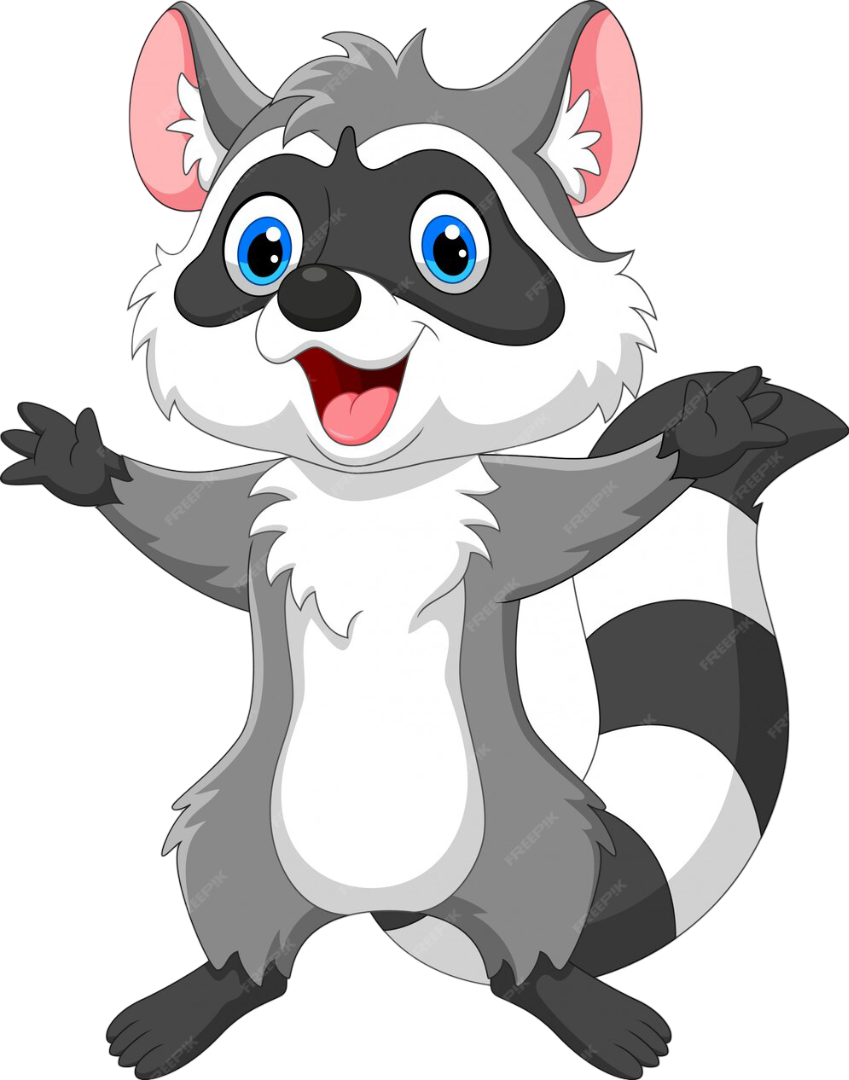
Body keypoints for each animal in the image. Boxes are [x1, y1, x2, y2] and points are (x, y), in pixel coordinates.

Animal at [2, 3, 845, 1078]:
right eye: (263, 249)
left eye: (449, 247)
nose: (314, 293)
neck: (372, 493)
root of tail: (387, 908)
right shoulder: (255, 521)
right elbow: (179, 528)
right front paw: (83, 467)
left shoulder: (511, 522)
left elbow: (600, 508)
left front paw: (703, 441)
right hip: (249, 833)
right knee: (233, 898)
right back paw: (212, 991)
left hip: (526, 834)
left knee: (536, 917)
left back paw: (565, 996)